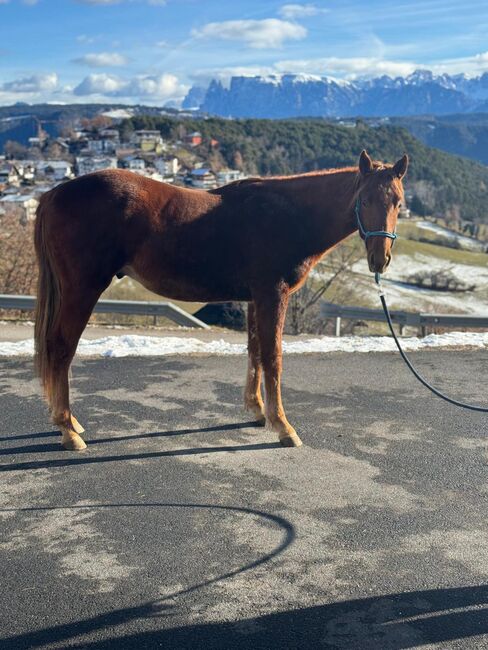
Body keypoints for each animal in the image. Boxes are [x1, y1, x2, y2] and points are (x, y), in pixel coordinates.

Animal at [33, 149, 408, 448]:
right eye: (364, 200)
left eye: (398, 202)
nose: (380, 259)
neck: (289, 216)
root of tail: (53, 194)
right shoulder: (273, 295)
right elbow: (273, 357)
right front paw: (283, 426)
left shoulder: (255, 298)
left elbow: (255, 351)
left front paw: (258, 411)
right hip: (82, 289)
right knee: (61, 348)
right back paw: (69, 430)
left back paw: (67, 421)